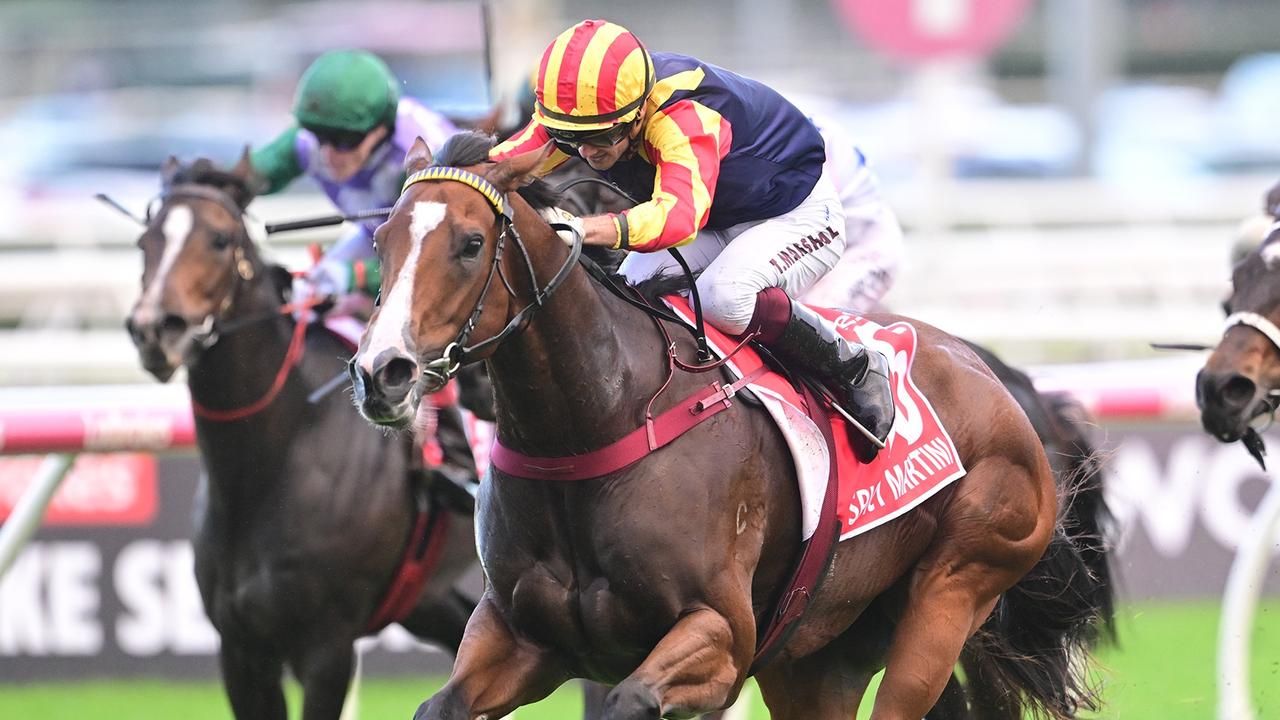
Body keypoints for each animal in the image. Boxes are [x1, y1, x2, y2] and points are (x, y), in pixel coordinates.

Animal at [124, 152, 480, 720]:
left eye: (219, 239)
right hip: (430, 599)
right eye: (145, 241)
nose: (157, 329)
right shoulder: (241, 650)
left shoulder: (327, 646)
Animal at [350, 132, 1106, 720]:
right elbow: (438, 705)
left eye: (471, 243)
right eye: (382, 239)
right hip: (819, 651)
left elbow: (631, 696)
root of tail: (996, 379)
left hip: (953, 589)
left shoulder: (720, 636)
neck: (592, 424)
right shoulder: (517, 634)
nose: (381, 371)